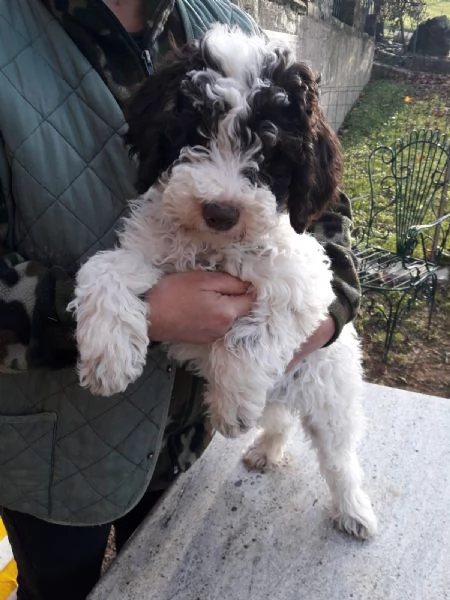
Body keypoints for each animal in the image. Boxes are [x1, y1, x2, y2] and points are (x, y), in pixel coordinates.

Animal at [70, 24, 378, 540]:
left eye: (269, 151)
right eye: (196, 132)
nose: (220, 211)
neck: (214, 247)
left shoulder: (304, 284)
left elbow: (250, 334)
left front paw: (232, 407)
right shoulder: (148, 249)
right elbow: (102, 269)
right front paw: (108, 357)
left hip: (328, 390)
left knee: (339, 458)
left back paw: (354, 509)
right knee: (279, 421)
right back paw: (267, 448)